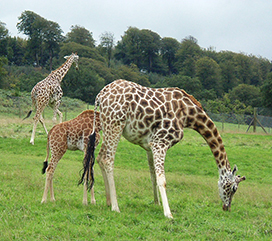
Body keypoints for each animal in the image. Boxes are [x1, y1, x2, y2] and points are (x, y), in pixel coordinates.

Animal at [79, 79, 245, 218]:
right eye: (234, 188)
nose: (227, 208)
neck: (188, 115)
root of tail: (100, 95)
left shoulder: (149, 145)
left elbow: (152, 175)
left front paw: (156, 203)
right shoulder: (160, 142)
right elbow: (162, 179)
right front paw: (168, 213)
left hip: (108, 125)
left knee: (100, 157)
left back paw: (107, 202)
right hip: (115, 124)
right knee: (108, 159)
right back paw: (115, 206)